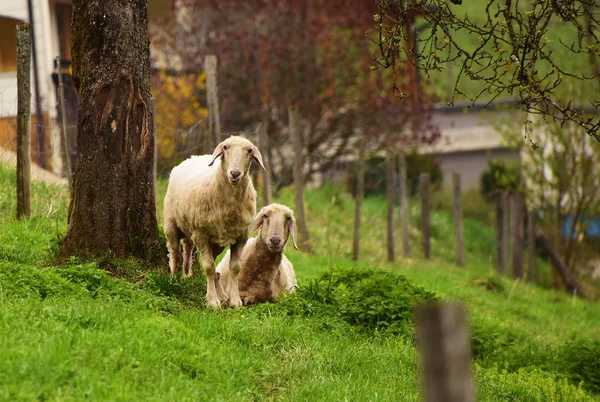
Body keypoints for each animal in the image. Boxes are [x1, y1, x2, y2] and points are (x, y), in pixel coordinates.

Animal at [164, 135, 268, 308]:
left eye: (249, 150)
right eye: (225, 147)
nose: (235, 173)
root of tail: (193, 157)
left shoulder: (241, 237)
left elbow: (235, 268)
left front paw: (234, 301)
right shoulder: (201, 235)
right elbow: (209, 267)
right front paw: (212, 302)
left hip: (213, 239)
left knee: (198, 256)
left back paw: (220, 294)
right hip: (171, 224)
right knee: (174, 254)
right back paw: (174, 279)